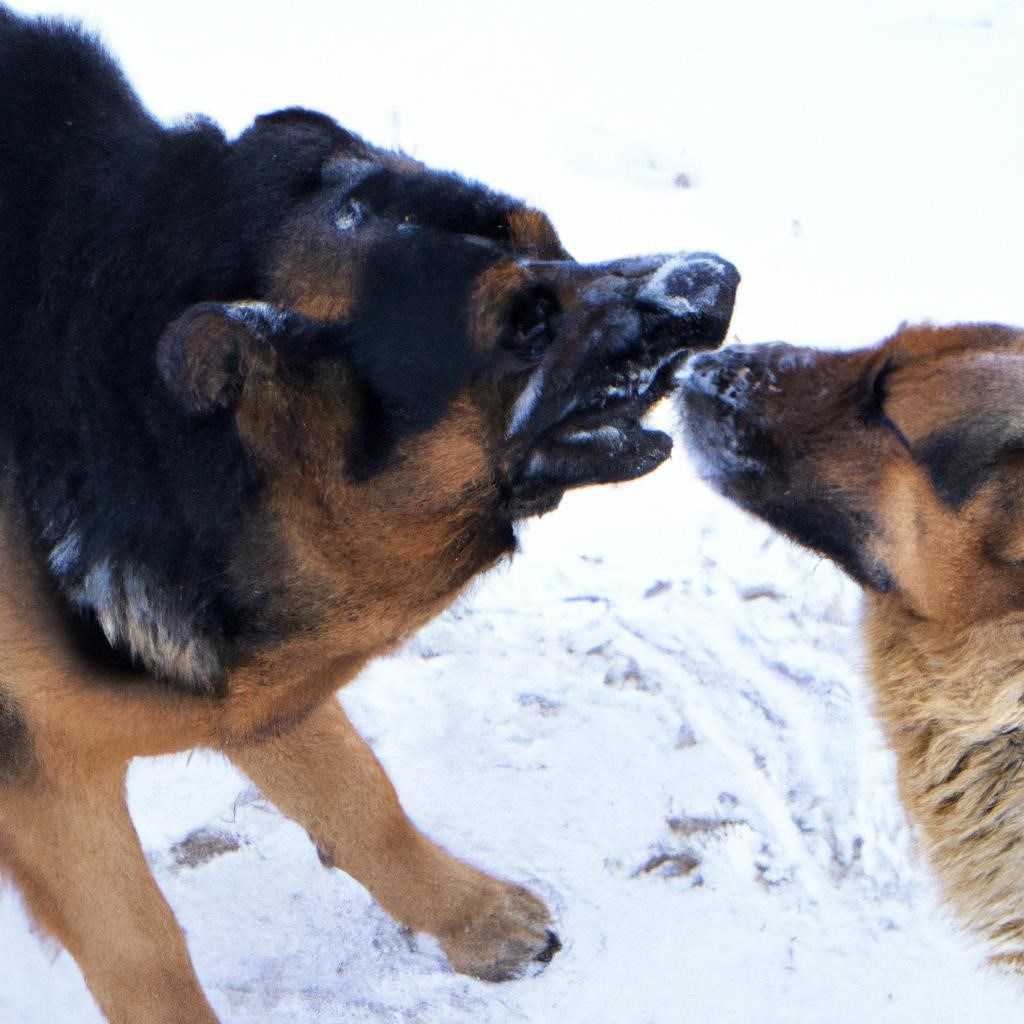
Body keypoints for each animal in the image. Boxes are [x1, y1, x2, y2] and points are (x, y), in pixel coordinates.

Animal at [0, 8, 741, 1024]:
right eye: (525, 328)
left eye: (553, 238)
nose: (715, 281)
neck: (156, 441)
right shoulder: (41, 776)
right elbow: (142, 951)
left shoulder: (262, 672)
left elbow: (359, 795)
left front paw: (471, 920)